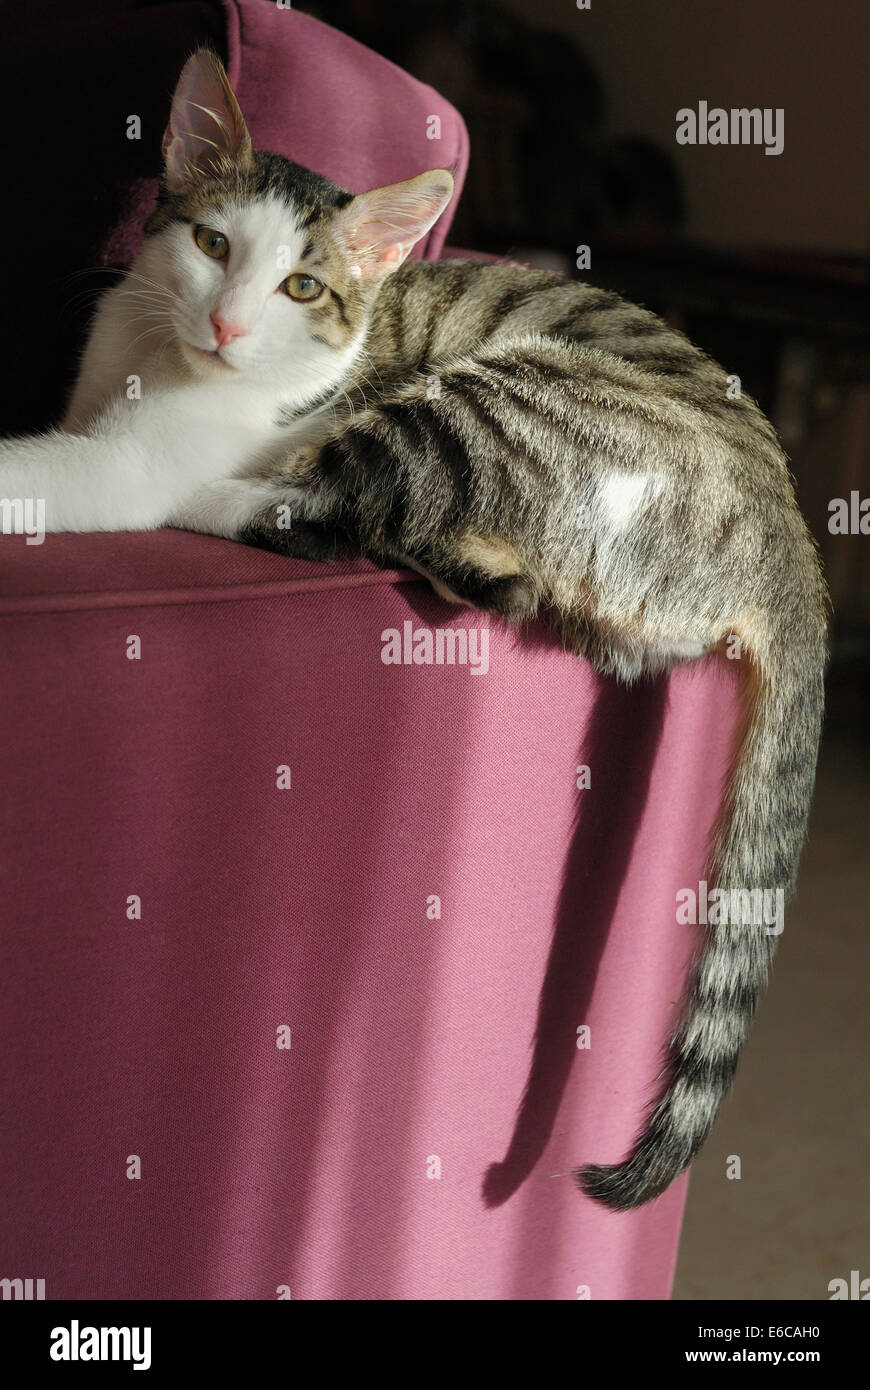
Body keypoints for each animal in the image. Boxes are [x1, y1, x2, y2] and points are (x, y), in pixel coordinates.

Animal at [1, 48, 828, 1212]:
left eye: (303, 287)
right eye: (213, 245)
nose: (229, 328)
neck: (155, 355)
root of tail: (791, 534)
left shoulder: (130, 458)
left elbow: (75, 474)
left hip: (498, 406)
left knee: (324, 503)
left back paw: (241, 491)